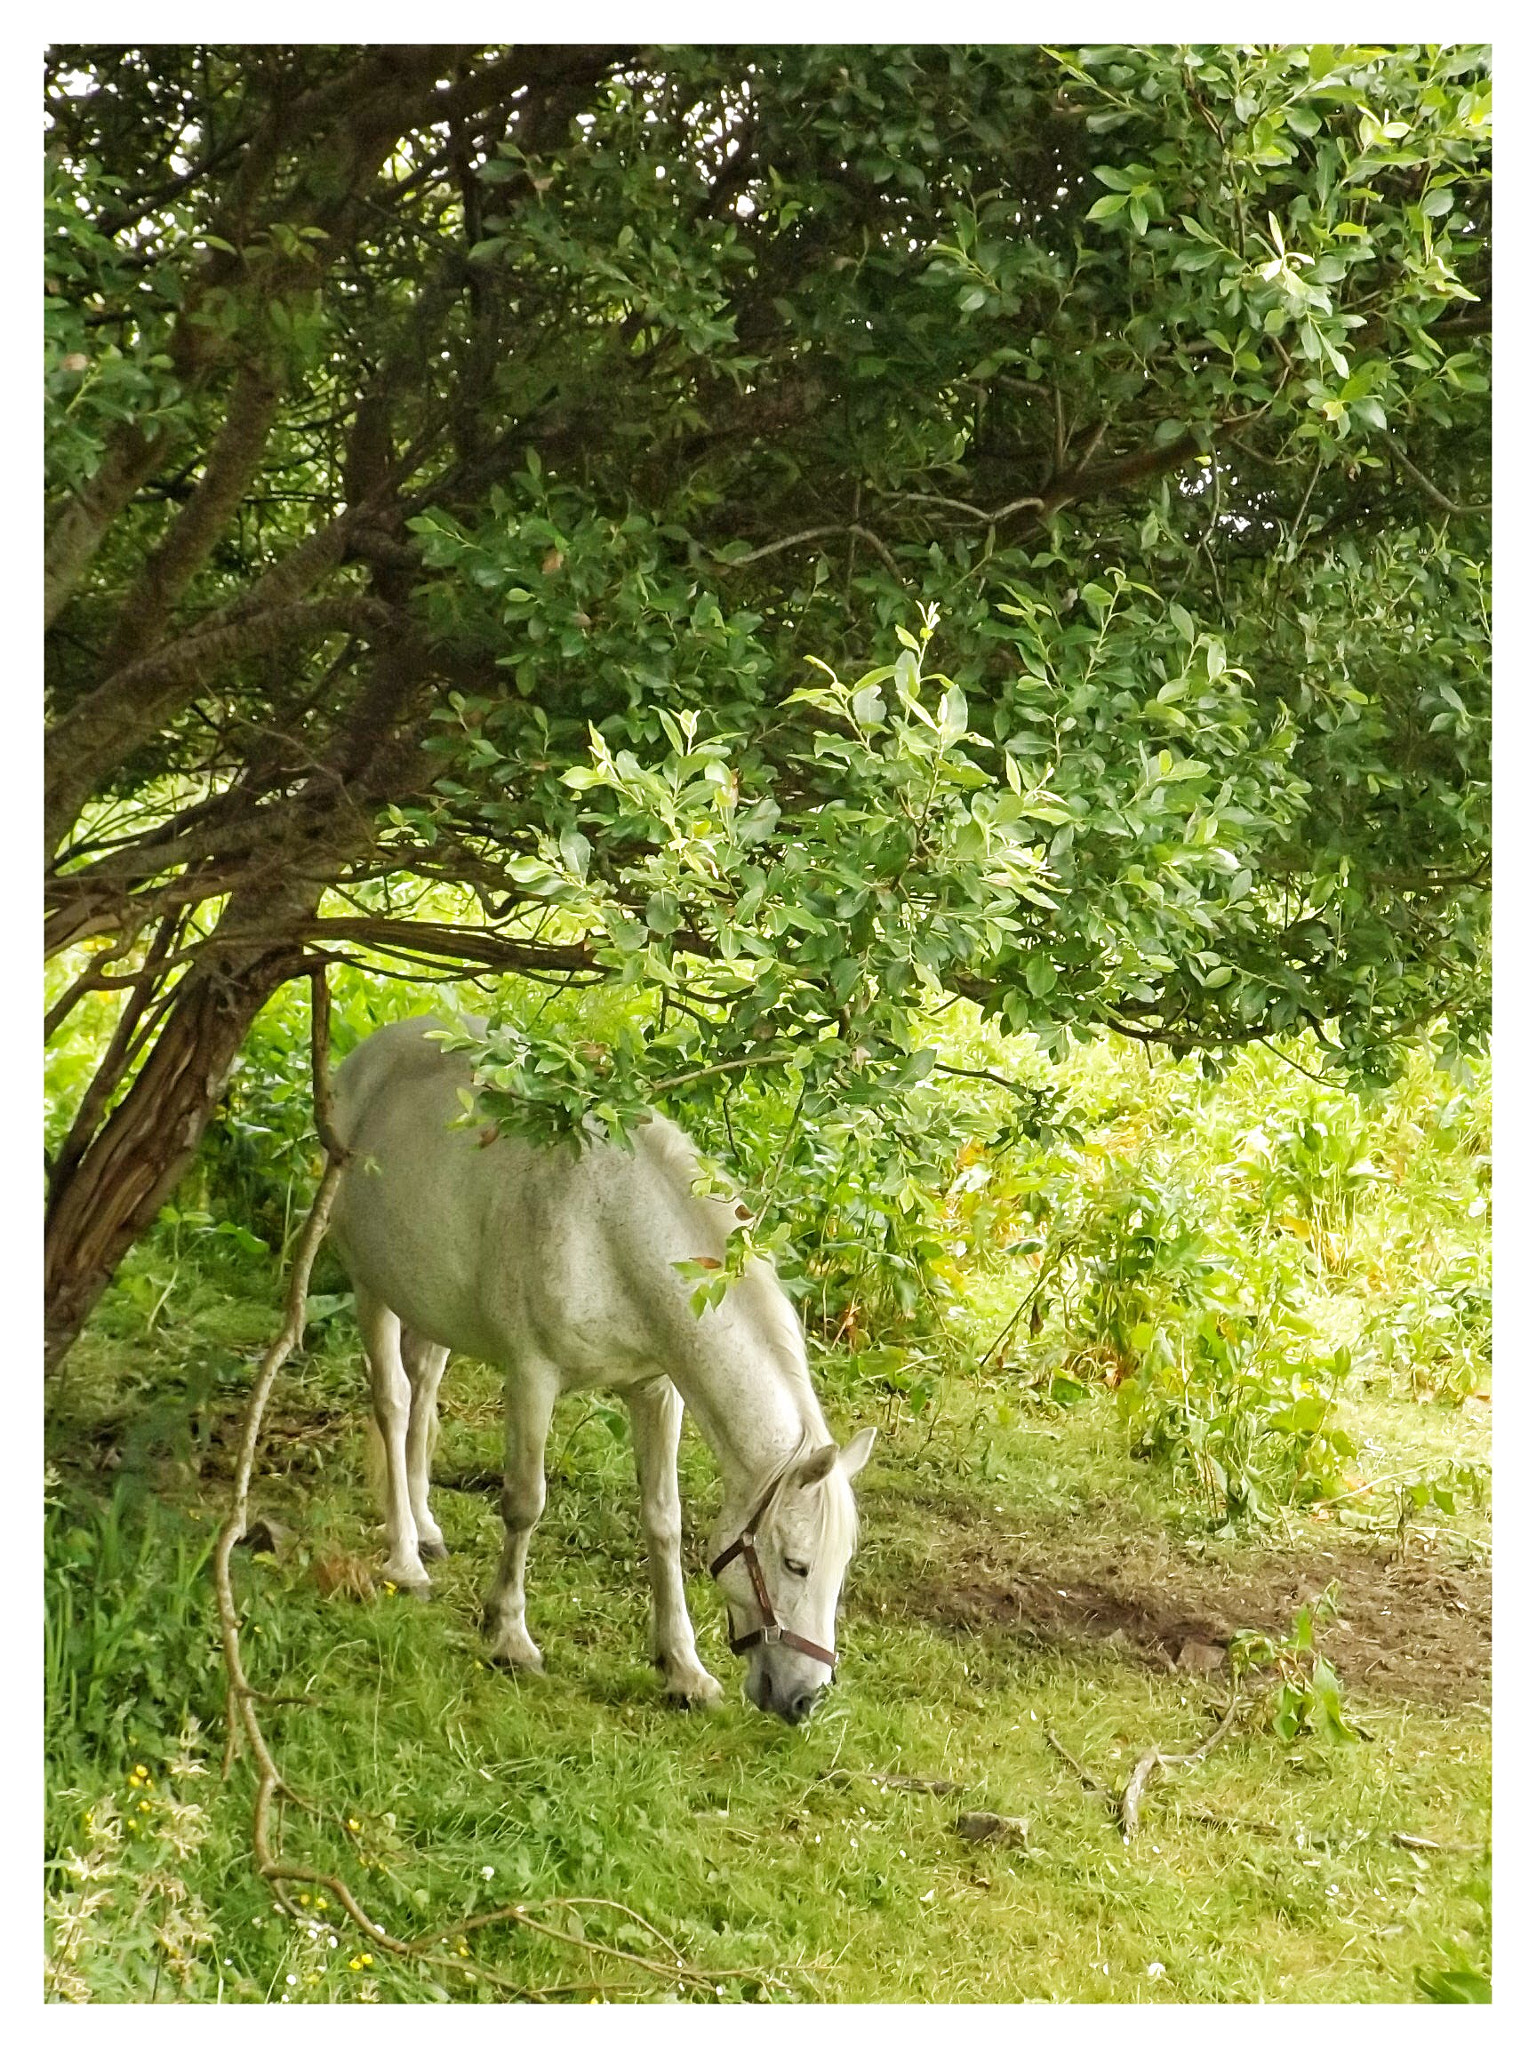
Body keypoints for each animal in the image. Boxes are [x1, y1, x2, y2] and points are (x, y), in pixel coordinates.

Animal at [325, 1015, 876, 1720]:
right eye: (798, 1564)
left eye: (842, 1568)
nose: (805, 1699)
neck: (611, 1230)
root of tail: (369, 1055)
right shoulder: (532, 1378)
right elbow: (524, 1504)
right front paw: (509, 1637)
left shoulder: (655, 1390)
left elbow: (664, 1521)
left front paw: (683, 1669)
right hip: (371, 1287)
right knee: (394, 1405)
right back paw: (405, 1559)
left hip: (432, 1305)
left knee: (423, 1389)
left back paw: (425, 1530)